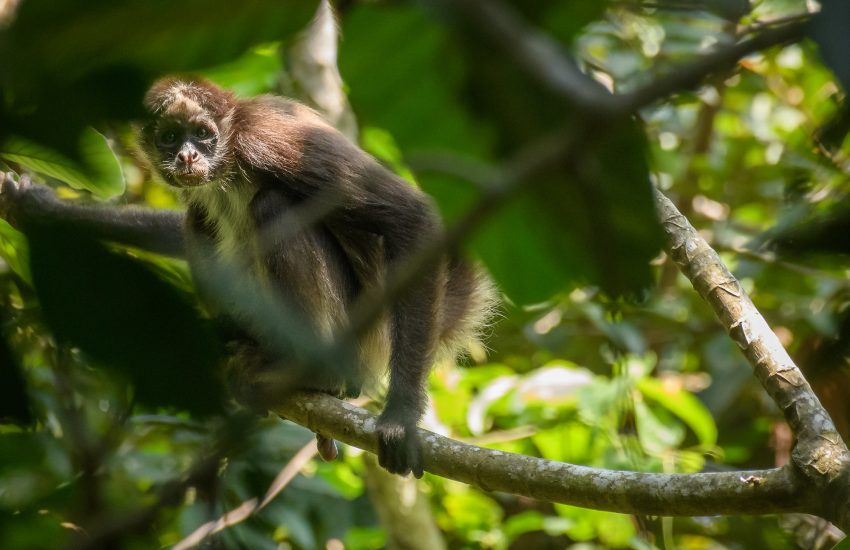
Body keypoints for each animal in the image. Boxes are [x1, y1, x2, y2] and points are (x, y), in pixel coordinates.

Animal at [140, 77, 496, 477]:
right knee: (199, 220)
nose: (187, 156)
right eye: (170, 137)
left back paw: (318, 373)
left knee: (273, 206)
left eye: (202, 134)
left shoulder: (269, 139)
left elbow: (413, 218)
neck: (227, 164)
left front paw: (400, 418)